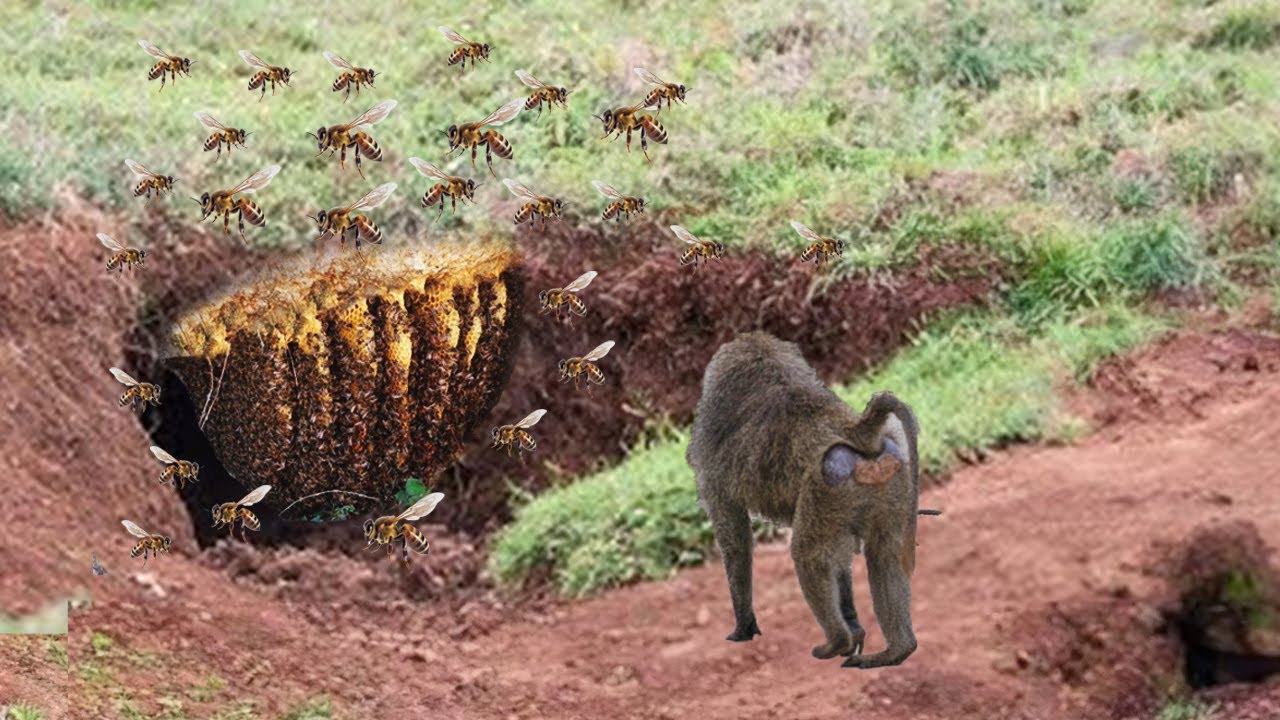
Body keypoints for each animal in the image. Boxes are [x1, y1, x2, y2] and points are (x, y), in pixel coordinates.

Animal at [686, 331, 927, 669]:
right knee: (883, 554)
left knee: (807, 556)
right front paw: (856, 626)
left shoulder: (713, 477)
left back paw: (836, 642)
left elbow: (737, 545)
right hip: (889, 478)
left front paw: (743, 629)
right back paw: (894, 651)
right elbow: (842, 562)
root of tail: (859, 433)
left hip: (825, 485)